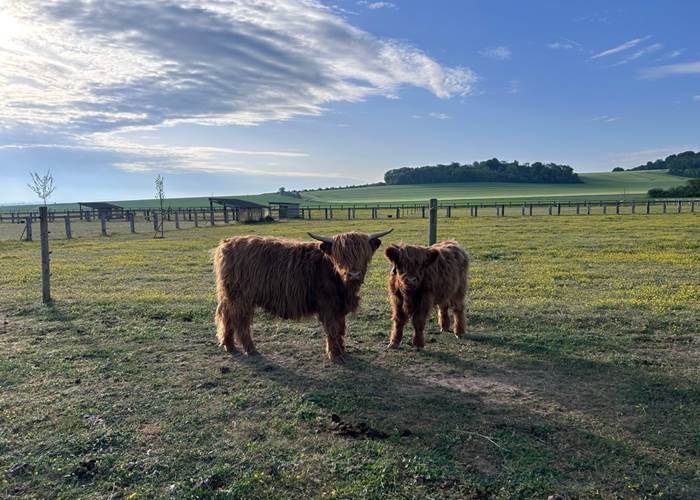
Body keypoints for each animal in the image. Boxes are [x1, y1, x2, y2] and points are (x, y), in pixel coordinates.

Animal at [214, 229, 392, 362]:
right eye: (341, 256)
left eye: (363, 255)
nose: (354, 274)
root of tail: (227, 243)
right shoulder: (327, 305)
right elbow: (332, 329)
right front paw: (335, 355)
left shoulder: (339, 307)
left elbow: (341, 328)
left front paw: (342, 351)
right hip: (241, 298)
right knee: (240, 322)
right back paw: (250, 349)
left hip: (229, 295)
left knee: (226, 316)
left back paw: (228, 345)